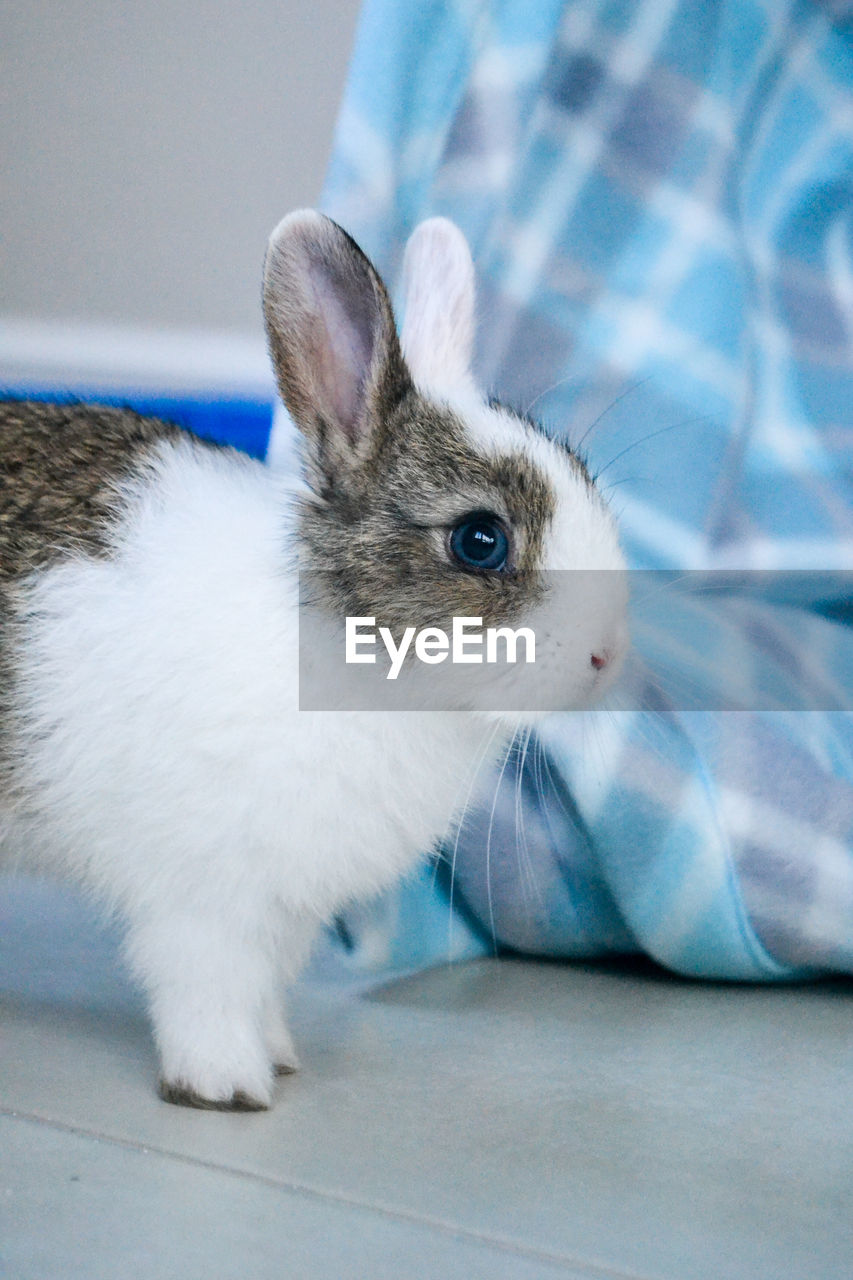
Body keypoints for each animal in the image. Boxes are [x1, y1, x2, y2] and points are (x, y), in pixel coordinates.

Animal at [0, 211, 627, 1109]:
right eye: (480, 540)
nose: (608, 654)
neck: (342, 641)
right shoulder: (203, 902)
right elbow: (207, 994)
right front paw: (228, 1089)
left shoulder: (282, 914)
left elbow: (263, 991)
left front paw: (281, 1055)